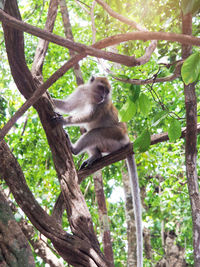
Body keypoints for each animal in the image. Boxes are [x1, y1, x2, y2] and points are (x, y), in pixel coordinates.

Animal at [51, 76, 142, 267]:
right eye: (101, 88)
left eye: (107, 92)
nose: (102, 96)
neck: (92, 97)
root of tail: (127, 139)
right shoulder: (82, 91)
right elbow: (67, 106)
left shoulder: (102, 106)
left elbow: (88, 116)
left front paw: (64, 121)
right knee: (90, 133)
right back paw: (95, 155)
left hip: (114, 136)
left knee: (93, 132)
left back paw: (74, 150)